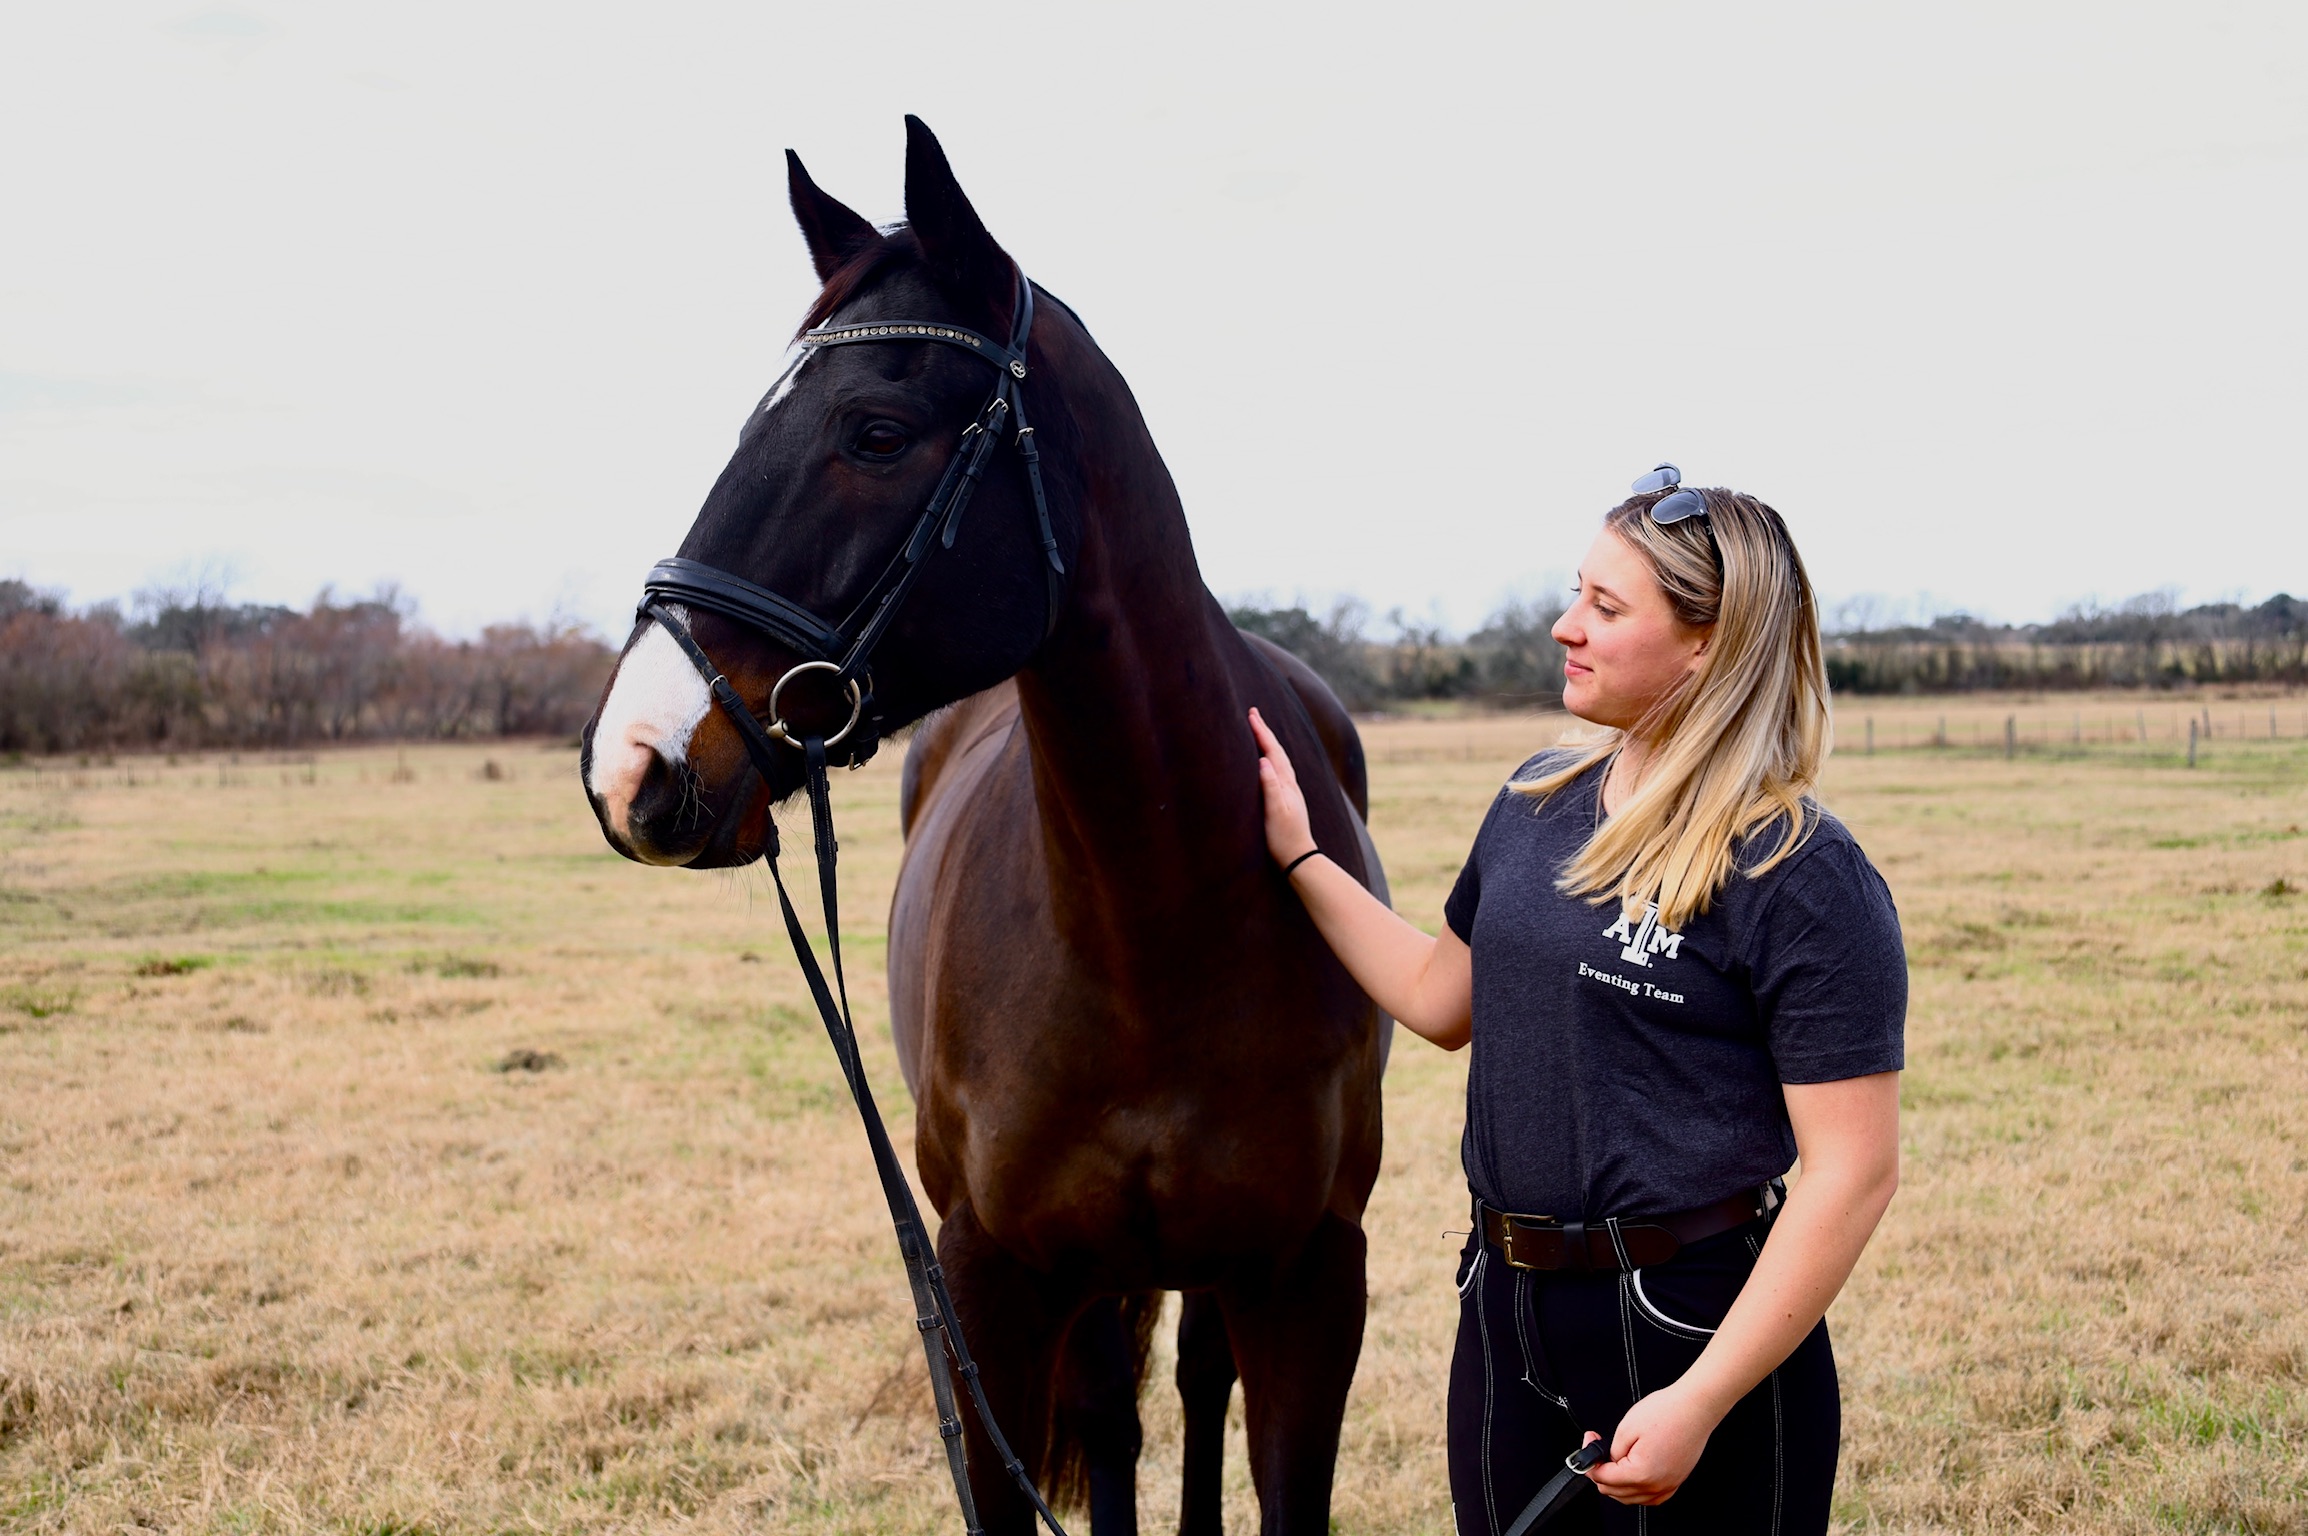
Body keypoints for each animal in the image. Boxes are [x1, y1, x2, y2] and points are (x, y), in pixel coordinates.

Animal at [586, 122, 1394, 1531]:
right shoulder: (989, 1286)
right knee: (1118, 1417)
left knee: (1188, 1389)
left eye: (875, 430)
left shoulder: (1306, 1282)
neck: (1155, 913)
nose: (631, 762)